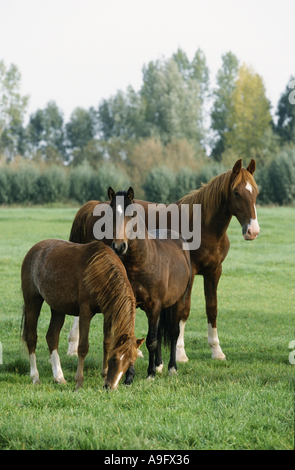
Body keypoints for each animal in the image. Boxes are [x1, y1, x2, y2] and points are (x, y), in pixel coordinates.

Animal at [21, 239, 145, 390]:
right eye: (115, 359)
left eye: (131, 362)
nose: (110, 387)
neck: (101, 271)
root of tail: (35, 249)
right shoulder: (85, 311)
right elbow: (83, 347)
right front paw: (79, 382)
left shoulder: (108, 313)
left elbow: (107, 343)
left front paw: (104, 375)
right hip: (32, 302)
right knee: (31, 338)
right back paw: (35, 377)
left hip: (57, 308)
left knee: (52, 337)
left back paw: (59, 377)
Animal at [68, 160, 260, 362]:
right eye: (236, 192)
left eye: (255, 192)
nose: (253, 231)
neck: (202, 226)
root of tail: (94, 205)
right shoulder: (190, 273)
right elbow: (184, 310)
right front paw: (181, 353)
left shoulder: (214, 271)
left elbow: (212, 308)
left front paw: (216, 350)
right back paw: (76, 347)